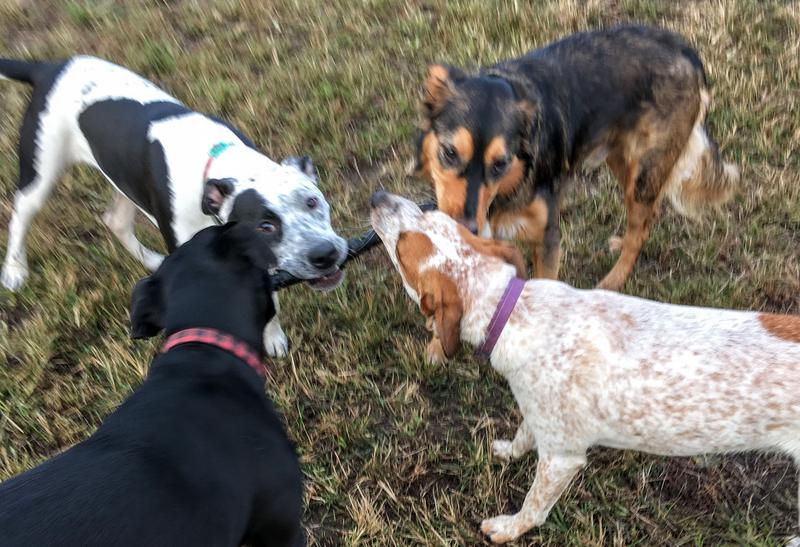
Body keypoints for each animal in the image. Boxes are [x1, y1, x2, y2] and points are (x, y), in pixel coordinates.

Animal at [0, 54, 346, 356]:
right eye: (266, 226)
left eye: (312, 201)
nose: (325, 253)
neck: (218, 161)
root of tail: (50, 67)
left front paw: (272, 337)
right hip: (40, 172)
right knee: (20, 217)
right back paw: (15, 271)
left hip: (124, 179)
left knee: (115, 220)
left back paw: (151, 260)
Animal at [372, 193, 796, 544]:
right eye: (434, 215)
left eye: (402, 247)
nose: (378, 196)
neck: (512, 311)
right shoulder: (542, 416)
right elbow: (523, 434)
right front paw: (509, 451)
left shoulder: (562, 458)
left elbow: (534, 506)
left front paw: (509, 528)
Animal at [412, 24, 736, 294]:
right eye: (450, 152)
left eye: (500, 164)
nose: (466, 229)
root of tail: (686, 51)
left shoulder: (548, 237)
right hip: (622, 159)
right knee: (645, 219)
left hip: (646, 169)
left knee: (640, 227)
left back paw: (612, 281)